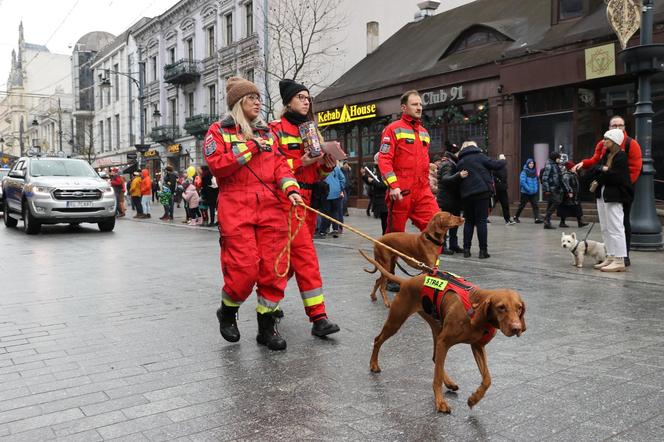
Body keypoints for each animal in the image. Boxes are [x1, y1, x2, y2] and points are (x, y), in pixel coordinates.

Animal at [360, 252, 528, 414]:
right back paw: (374, 364)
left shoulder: (477, 346)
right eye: (501, 307)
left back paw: (449, 383)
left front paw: (474, 399)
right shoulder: (445, 341)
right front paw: (440, 403)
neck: (475, 307)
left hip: (436, 327)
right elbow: (436, 378)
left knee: (436, 359)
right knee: (378, 340)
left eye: (519, 307)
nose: (516, 328)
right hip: (396, 321)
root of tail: (407, 281)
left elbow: (487, 379)